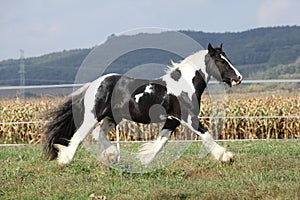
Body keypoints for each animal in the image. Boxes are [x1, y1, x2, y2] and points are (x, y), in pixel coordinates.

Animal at [43, 43, 243, 165]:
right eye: (220, 61)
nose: (238, 78)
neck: (184, 85)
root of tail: (94, 84)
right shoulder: (188, 118)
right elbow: (207, 135)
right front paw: (226, 156)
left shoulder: (172, 121)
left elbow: (161, 142)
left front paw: (144, 159)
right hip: (93, 116)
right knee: (79, 137)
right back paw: (65, 160)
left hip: (111, 118)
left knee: (98, 134)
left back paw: (112, 156)